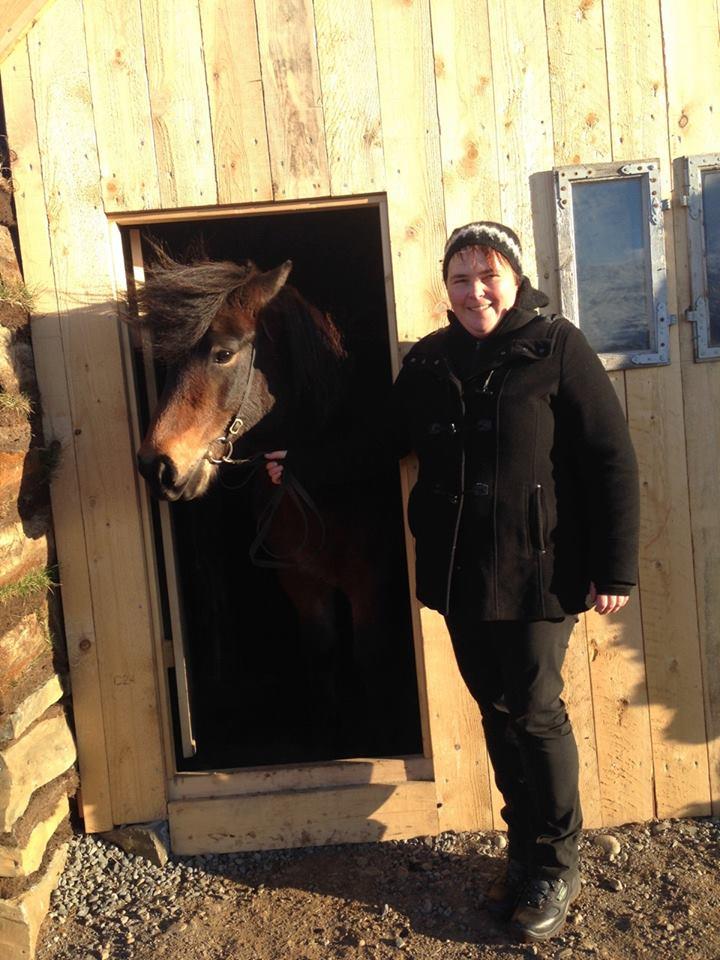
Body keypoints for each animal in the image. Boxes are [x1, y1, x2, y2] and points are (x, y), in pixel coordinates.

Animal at [132, 251, 420, 760]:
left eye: (223, 353)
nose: (157, 465)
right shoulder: (303, 587)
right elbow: (321, 659)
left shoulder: (370, 584)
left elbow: (371, 660)